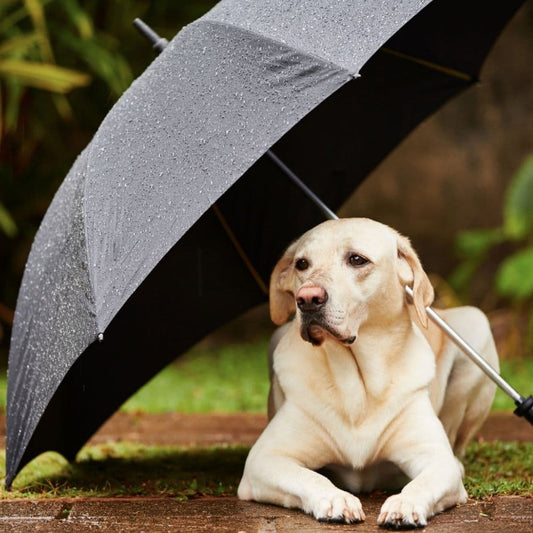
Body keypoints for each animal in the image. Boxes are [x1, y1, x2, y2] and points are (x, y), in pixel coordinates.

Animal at [239, 217, 496, 528]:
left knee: (456, 449)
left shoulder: (436, 459)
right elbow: (309, 477)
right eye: (301, 264)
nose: (307, 298)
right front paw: (336, 499)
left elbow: (424, 481)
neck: (358, 383)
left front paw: (404, 503)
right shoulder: (264, 459)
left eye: (357, 259)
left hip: (476, 325)